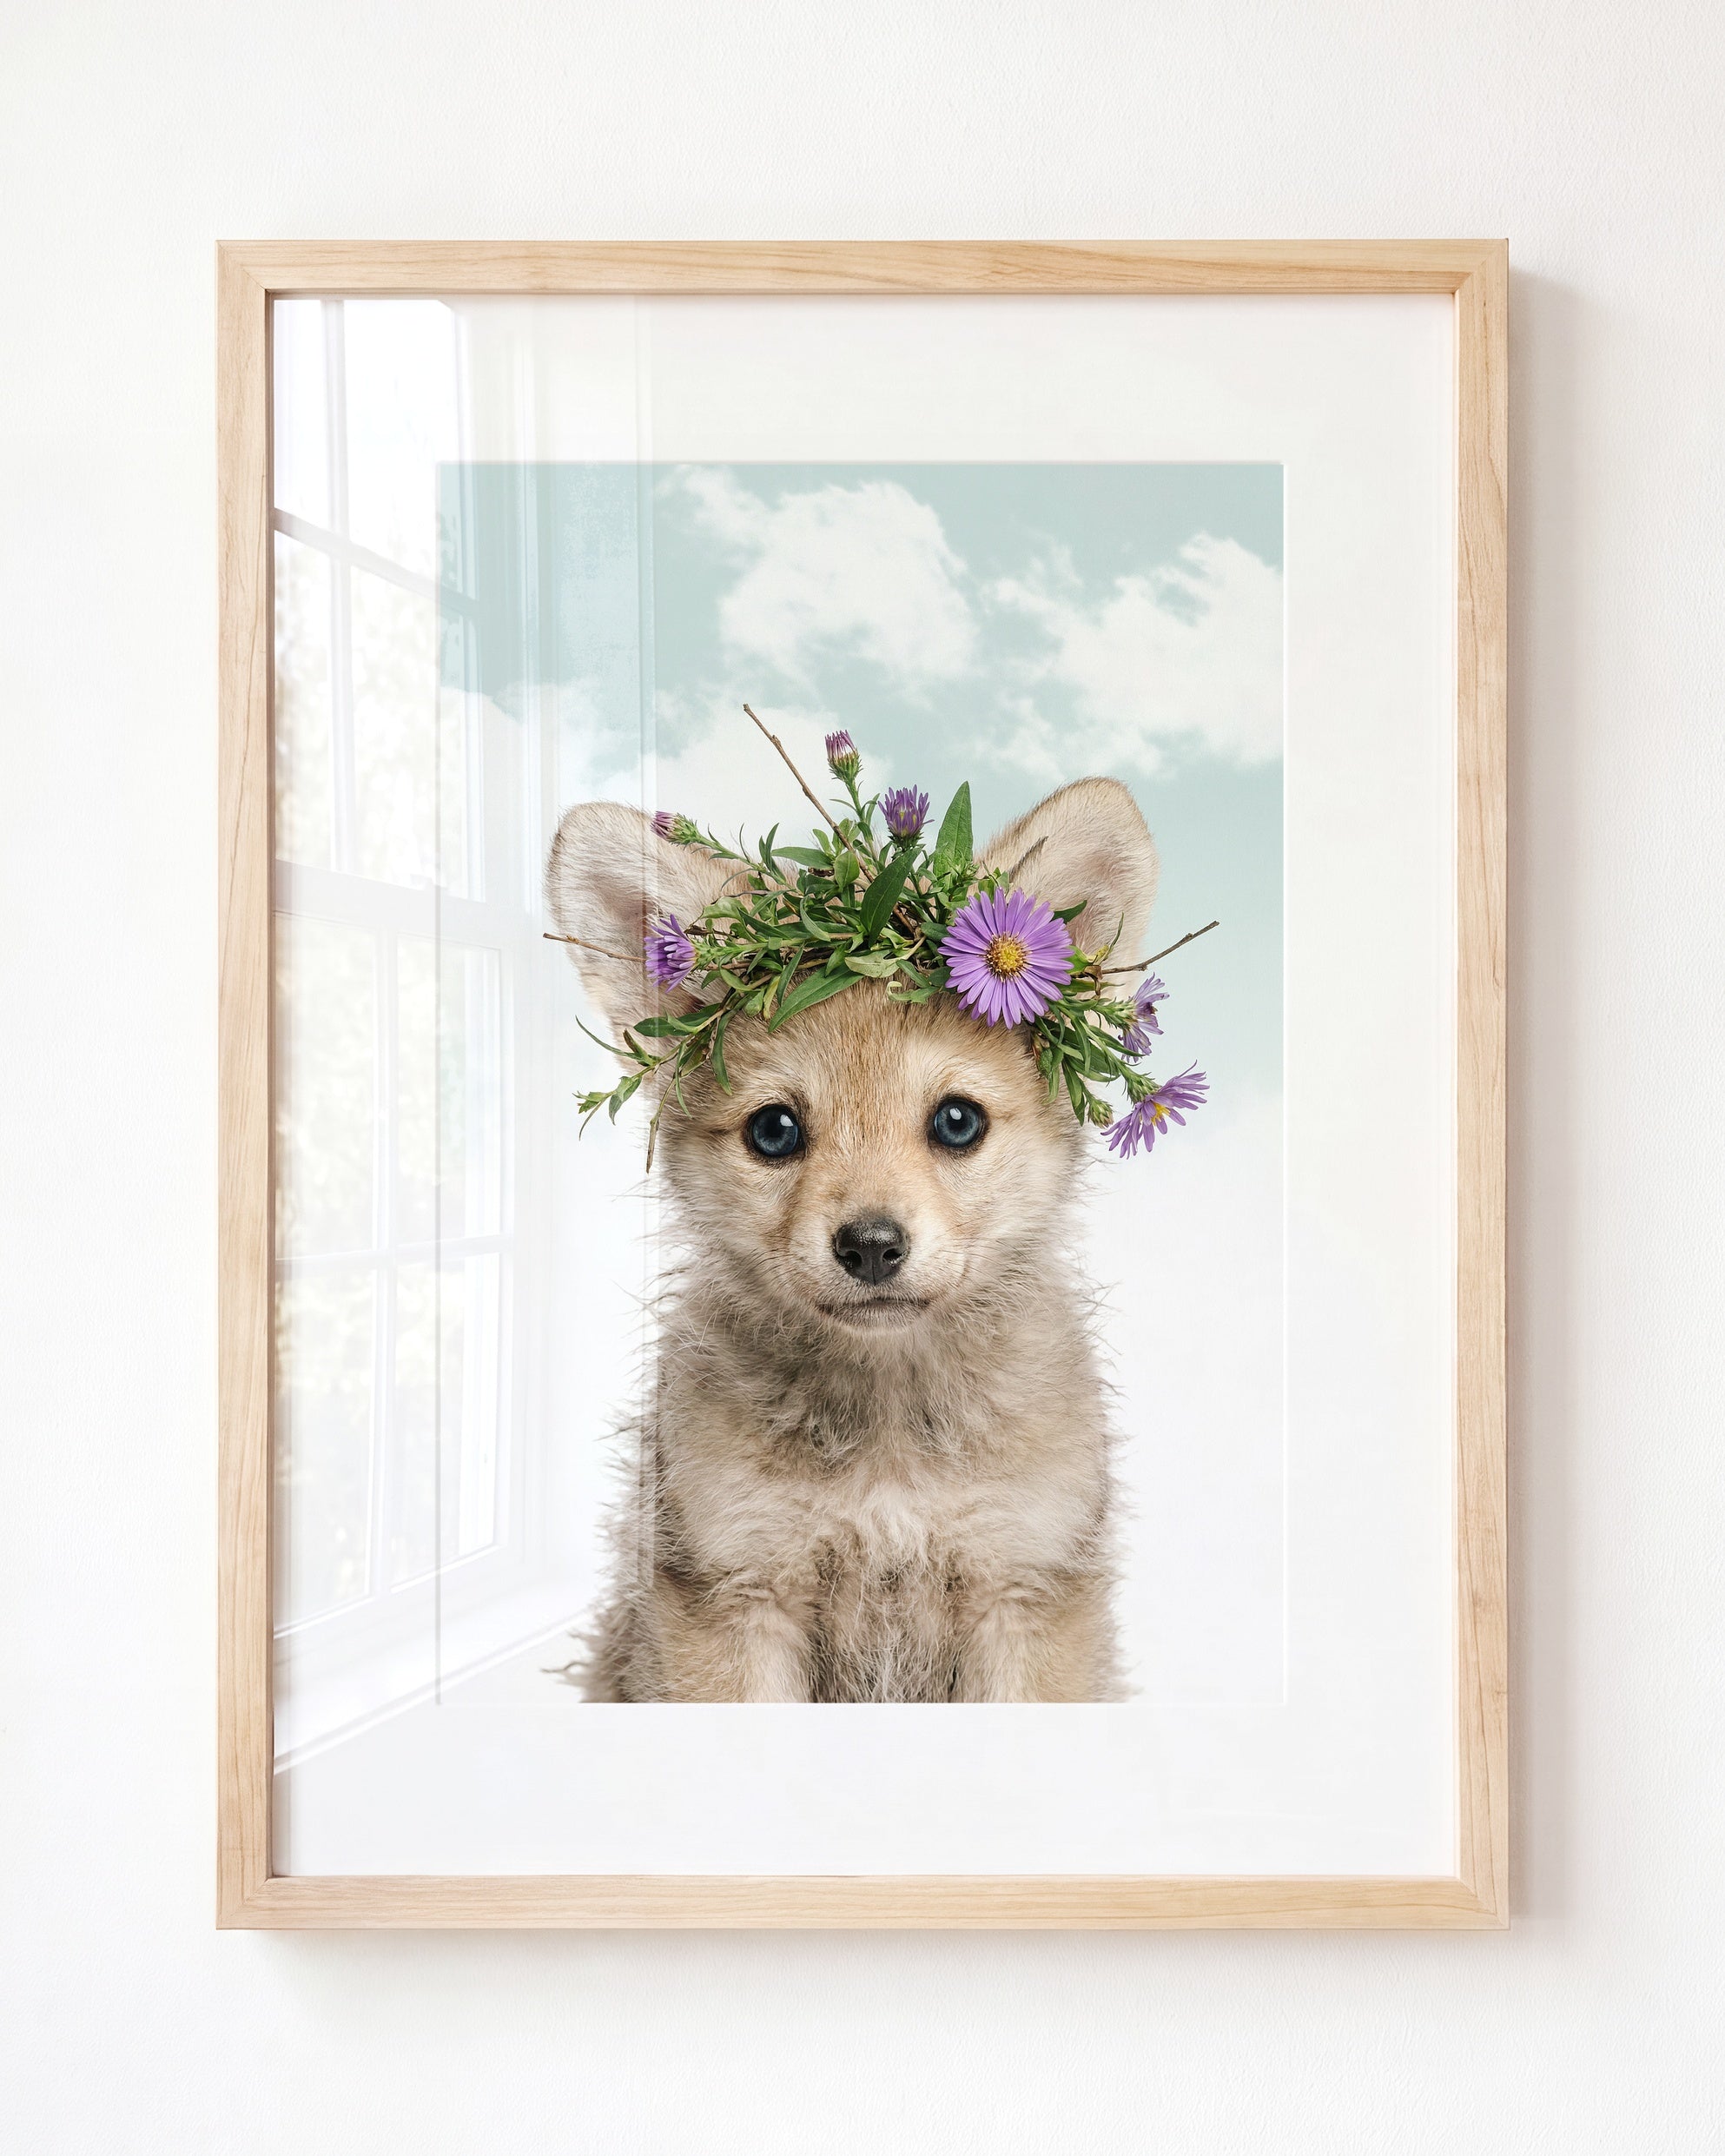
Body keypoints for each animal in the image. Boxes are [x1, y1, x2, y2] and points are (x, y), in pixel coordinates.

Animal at [545, 777, 1158, 1702]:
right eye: (774, 1131)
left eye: (956, 1121)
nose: (871, 1246)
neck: (889, 1434)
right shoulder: (736, 1595)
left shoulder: (1023, 1590)